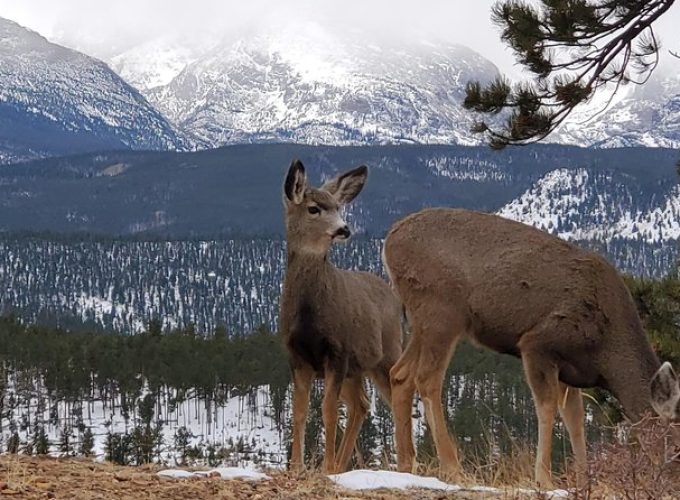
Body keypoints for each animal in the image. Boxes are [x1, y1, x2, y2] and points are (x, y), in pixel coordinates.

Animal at [278, 159, 402, 472]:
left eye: (338, 207)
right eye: (314, 208)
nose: (344, 229)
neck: (310, 316)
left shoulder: (338, 351)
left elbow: (328, 411)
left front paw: (324, 468)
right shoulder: (296, 356)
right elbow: (299, 411)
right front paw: (297, 467)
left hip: (386, 353)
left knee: (399, 397)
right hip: (356, 369)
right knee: (361, 404)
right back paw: (342, 466)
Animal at [382, 208, 680, 488]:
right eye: (676, 441)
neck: (606, 352)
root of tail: (389, 242)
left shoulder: (570, 368)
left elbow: (575, 419)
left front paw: (583, 481)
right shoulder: (539, 343)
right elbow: (547, 407)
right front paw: (544, 480)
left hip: (421, 321)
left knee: (400, 373)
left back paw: (407, 464)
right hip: (441, 310)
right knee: (427, 378)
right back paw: (453, 468)